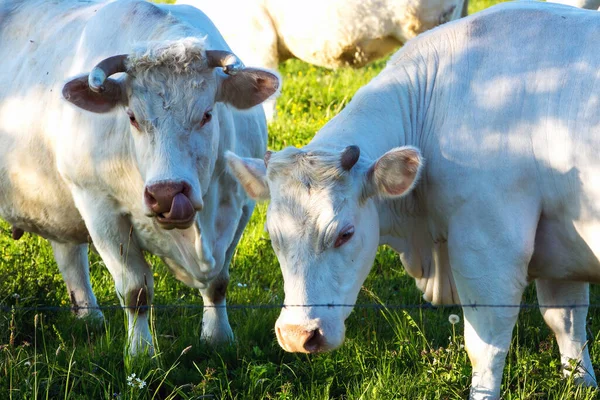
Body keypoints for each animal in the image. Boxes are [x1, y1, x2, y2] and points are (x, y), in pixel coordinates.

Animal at [0, 0, 280, 356]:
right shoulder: (99, 208)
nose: (166, 194)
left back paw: (89, 317)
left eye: (207, 114)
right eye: (132, 117)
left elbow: (218, 282)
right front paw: (141, 352)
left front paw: (218, 337)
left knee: (69, 253)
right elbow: (136, 290)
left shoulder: (240, 206)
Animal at [226, 1, 600, 398]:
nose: (298, 334)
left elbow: (486, 344)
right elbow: (567, 324)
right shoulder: (560, 245)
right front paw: (583, 384)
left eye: (345, 234)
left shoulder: (489, 244)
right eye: (273, 237)